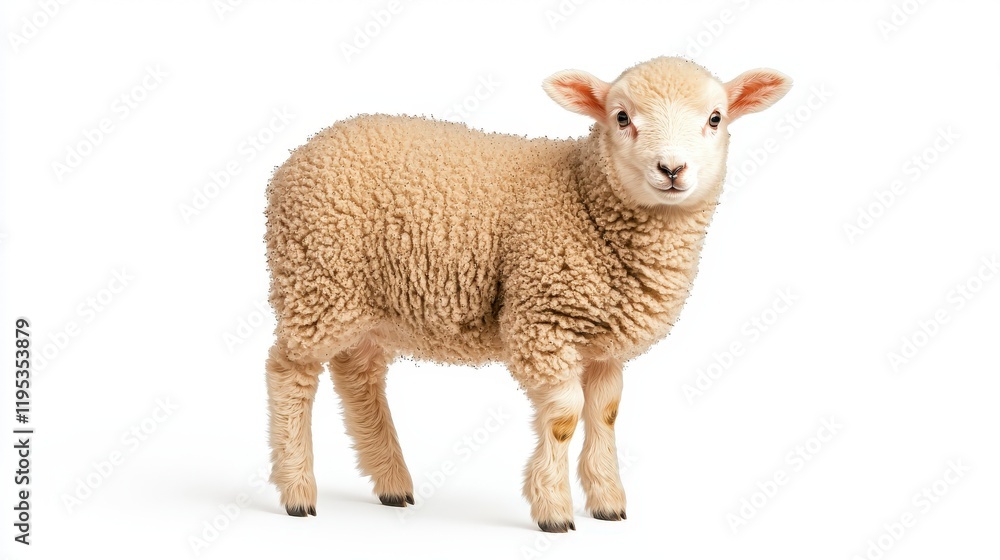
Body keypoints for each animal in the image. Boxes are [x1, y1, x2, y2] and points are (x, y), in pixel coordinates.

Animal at [264, 56, 791, 532]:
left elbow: (606, 413)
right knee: (289, 371)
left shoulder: (603, 343)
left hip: (367, 302)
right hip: (317, 280)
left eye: (715, 118)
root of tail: (302, 153)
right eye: (621, 117)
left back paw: (392, 482)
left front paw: (607, 502)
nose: (672, 168)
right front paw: (553, 510)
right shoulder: (542, 320)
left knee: (358, 375)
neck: (583, 195)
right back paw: (297, 491)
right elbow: (564, 418)